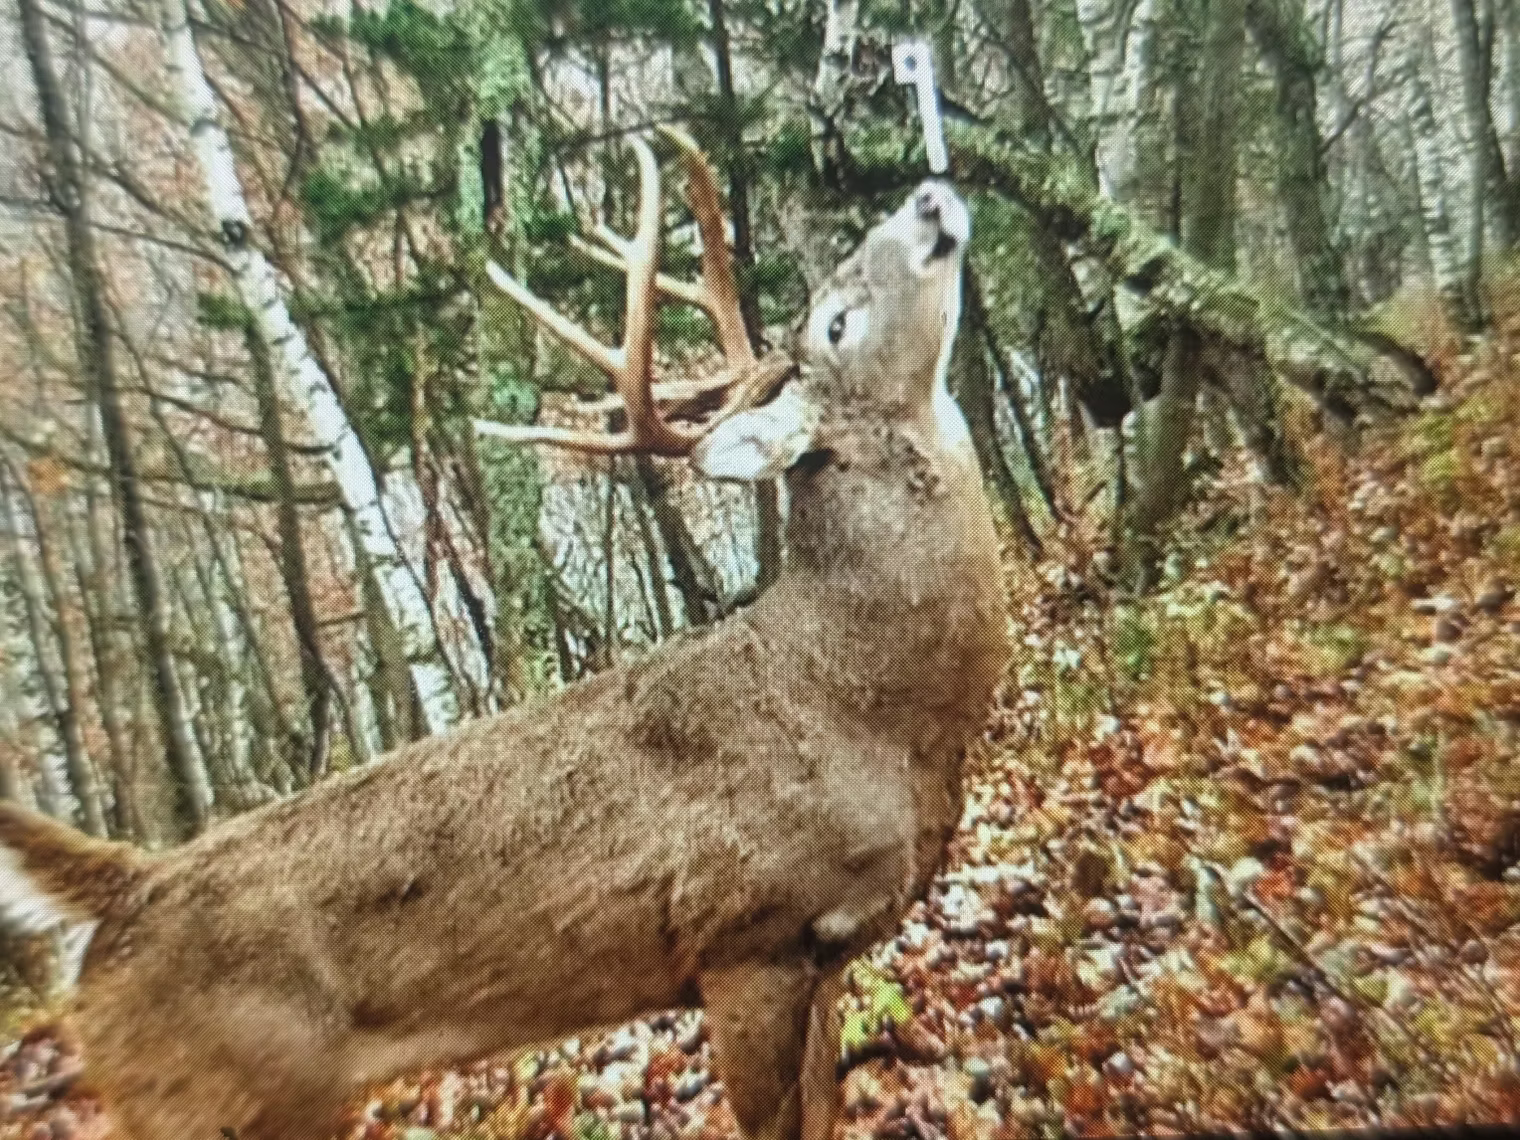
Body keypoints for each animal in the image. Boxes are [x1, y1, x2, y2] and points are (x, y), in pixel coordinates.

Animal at [0, 130, 1009, 1140]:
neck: (862, 703)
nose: (928, 198)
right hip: (226, 1102)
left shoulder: (831, 950)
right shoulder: (743, 943)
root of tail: (126, 889)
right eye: (837, 322)